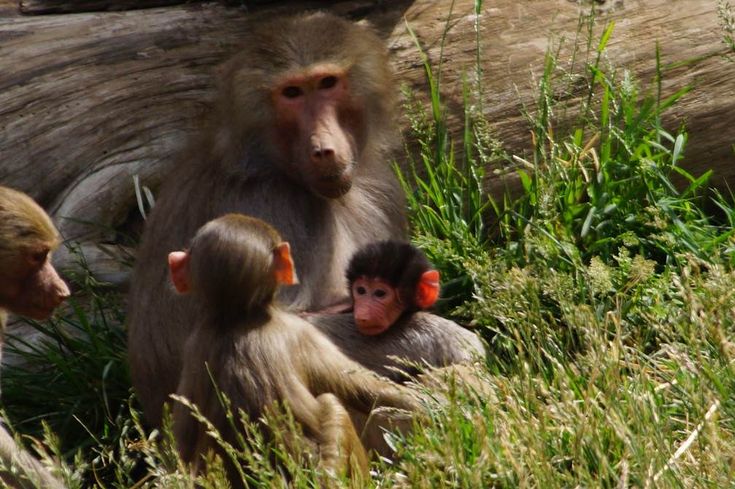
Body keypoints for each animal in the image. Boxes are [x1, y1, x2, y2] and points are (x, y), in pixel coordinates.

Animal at [126, 9, 484, 426]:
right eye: (292, 93)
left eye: (327, 83)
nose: (323, 150)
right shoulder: (268, 205)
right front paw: (447, 338)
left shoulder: (381, 191)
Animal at [168, 214, 420, 484]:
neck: (235, 319)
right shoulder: (302, 332)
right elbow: (372, 393)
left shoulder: (194, 346)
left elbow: (183, 446)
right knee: (333, 406)